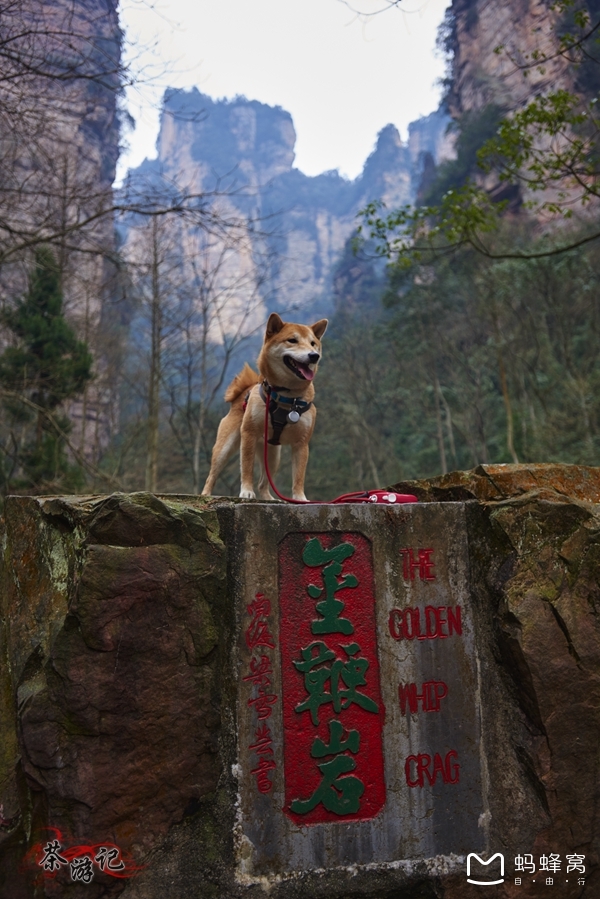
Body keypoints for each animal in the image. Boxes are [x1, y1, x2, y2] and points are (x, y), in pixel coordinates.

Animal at [203, 314, 328, 500]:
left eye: (313, 343)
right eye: (292, 340)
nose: (314, 355)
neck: (287, 396)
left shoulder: (302, 443)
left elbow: (299, 476)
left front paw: (299, 498)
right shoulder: (249, 434)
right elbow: (247, 468)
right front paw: (246, 491)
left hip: (273, 455)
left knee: (264, 482)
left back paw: (269, 498)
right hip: (225, 447)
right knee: (211, 475)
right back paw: (205, 494)